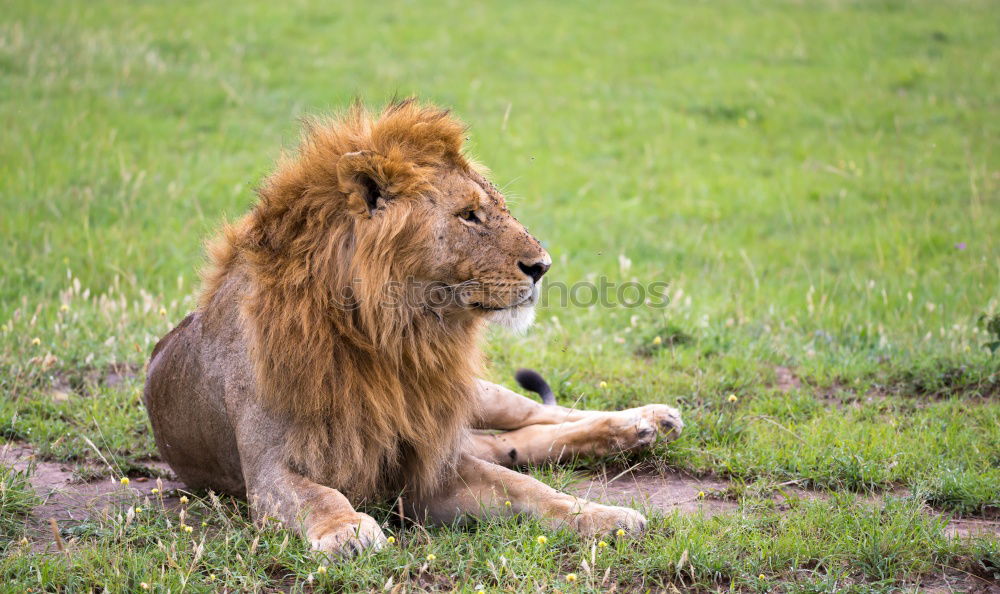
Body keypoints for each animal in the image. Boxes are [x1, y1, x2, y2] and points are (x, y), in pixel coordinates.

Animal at [145, 98, 684, 556]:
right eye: (469, 216)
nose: (543, 266)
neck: (390, 335)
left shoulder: (429, 461)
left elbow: (531, 489)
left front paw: (604, 516)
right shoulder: (267, 468)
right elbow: (318, 496)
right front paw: (347, 530)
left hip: (473, 393)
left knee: (542, 414)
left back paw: (648, 420)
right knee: (518, 441)